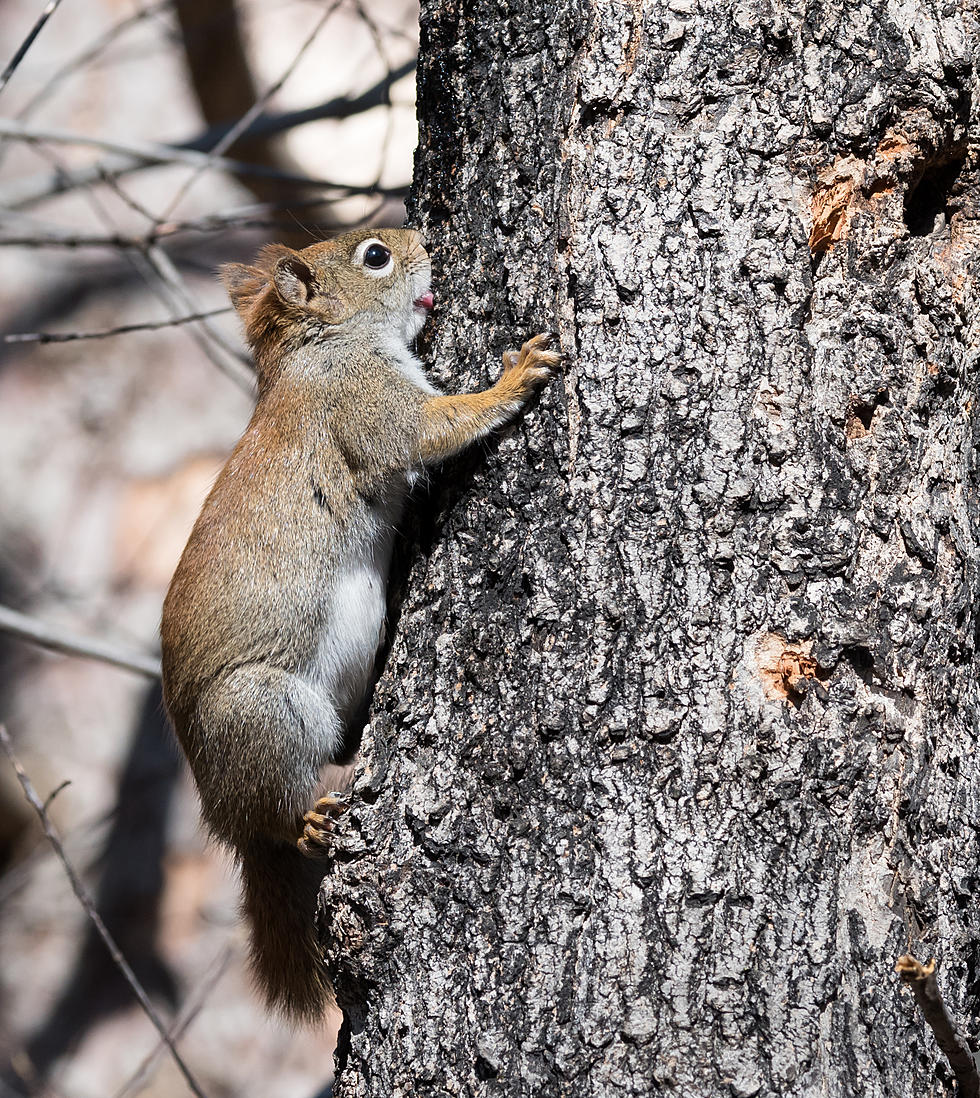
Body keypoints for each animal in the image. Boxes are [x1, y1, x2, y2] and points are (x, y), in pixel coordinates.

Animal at [160, 227, 557, 1023]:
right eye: (376, 255)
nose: (426, 240)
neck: (317, 350)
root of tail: (223, 813)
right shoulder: (361, 400)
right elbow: (429, 430)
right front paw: (513, 378)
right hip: (260, 711)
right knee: (276, 809)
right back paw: (303, 821)